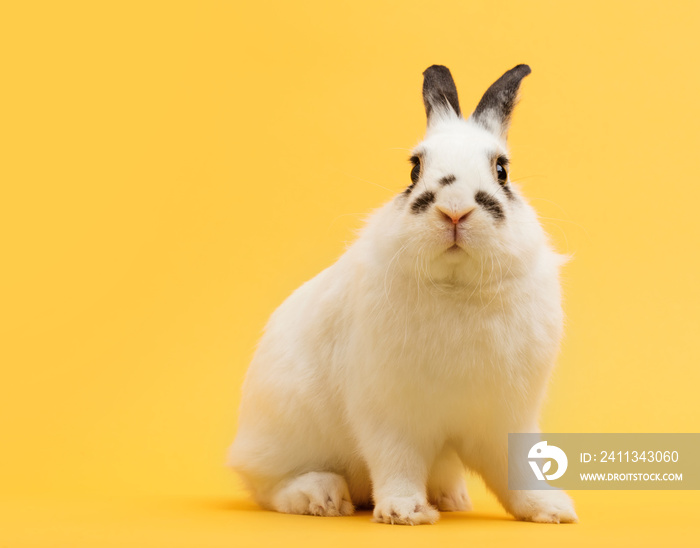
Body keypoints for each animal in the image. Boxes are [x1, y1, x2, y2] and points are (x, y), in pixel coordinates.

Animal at [227, 62, 576, 524]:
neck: (456, 288)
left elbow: (514, 469)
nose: (454, 211)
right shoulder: (389, 416)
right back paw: (321, 497)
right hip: (281, 435)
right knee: (269, 487)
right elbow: (397, 463)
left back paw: (451, 497)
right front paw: (405, 511)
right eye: (414, 170)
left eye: (502, 170)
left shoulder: (504, 416)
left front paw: (550, 509)